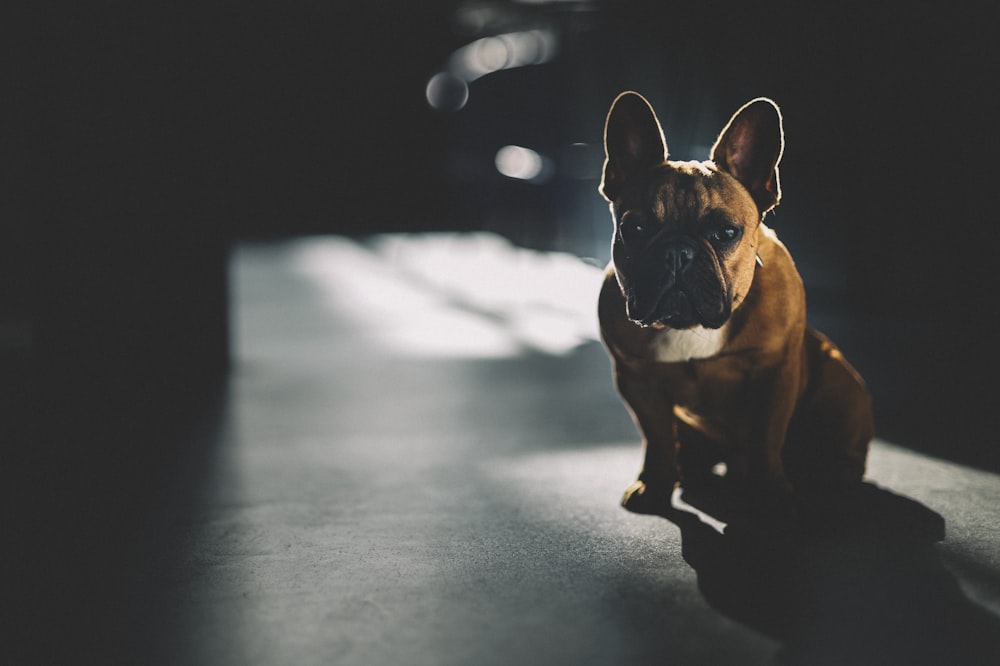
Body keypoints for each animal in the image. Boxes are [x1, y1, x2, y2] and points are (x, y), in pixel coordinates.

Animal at [596, 89, 872, 512]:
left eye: (727, 232)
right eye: (635, 228)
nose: (677, 252)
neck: (690, 326)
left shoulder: (775, 376)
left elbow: (766, 440)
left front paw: (770, 493)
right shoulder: (637, 381)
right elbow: (657, 440)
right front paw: (655, 485)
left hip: (841, 387)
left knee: (842, 456)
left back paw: (826, 479)